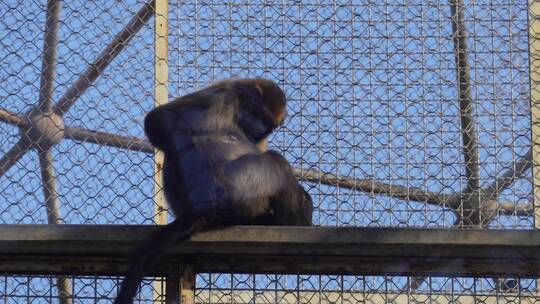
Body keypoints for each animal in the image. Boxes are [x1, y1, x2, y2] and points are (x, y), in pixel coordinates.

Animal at [115, 79, 314, 304]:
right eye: (260, 115)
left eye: (268, 125)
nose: (259, 128)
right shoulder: (224, 91)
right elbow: (158, 117)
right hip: (240, 186)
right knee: (274, 160)